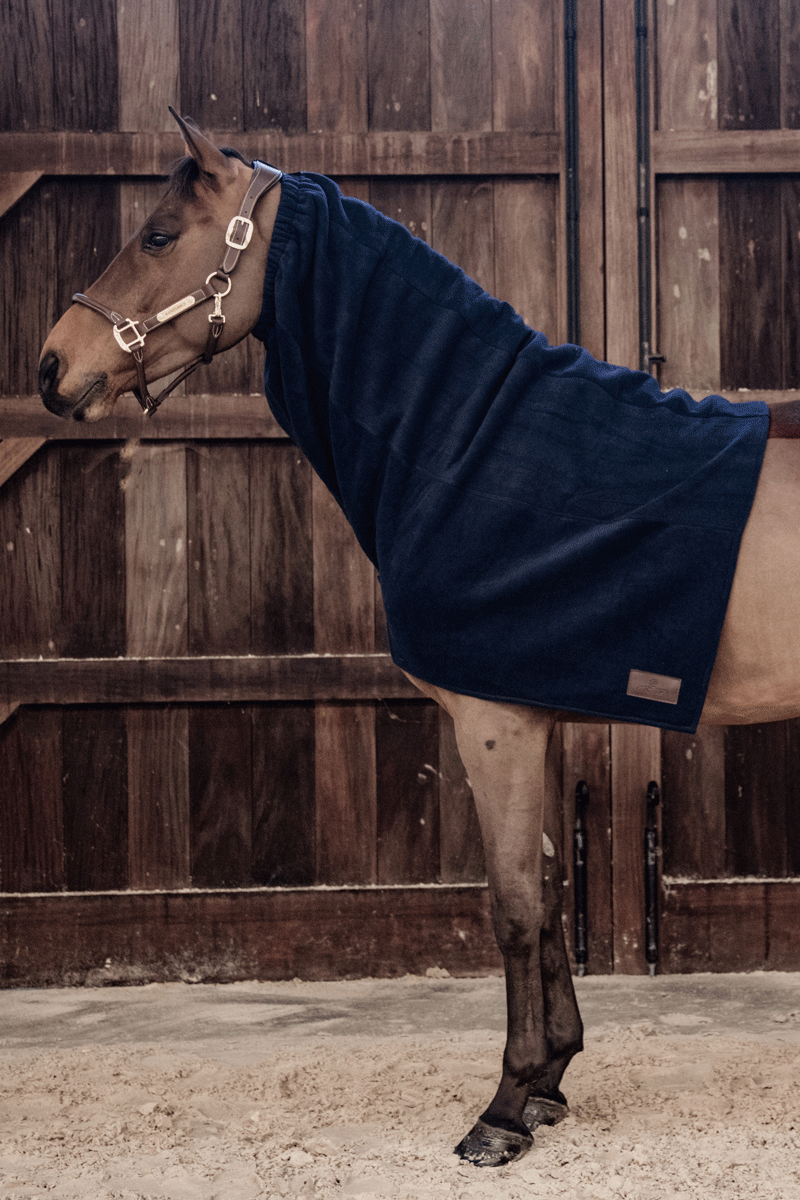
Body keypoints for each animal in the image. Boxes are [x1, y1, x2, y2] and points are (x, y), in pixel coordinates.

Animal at [38, 111, 800, 1168]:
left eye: (156, 236)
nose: (50, 368)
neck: (475, 448)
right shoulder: (532, 721)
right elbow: (548, 892)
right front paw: (552, 1083)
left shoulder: (495, 725)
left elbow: (513, 909)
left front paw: (504, 1110)